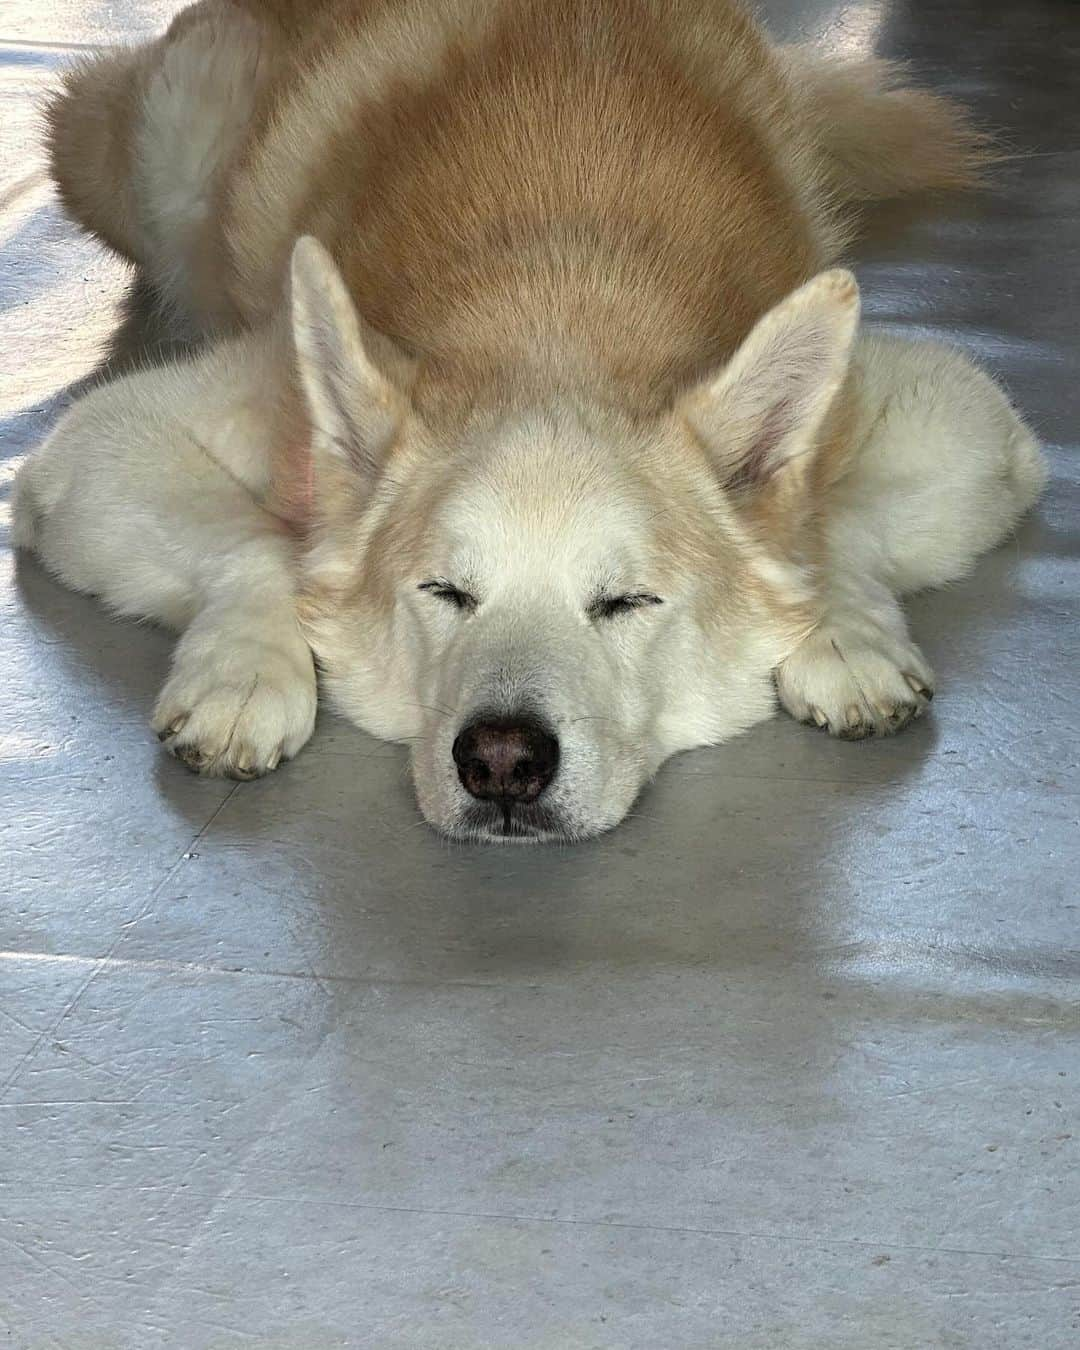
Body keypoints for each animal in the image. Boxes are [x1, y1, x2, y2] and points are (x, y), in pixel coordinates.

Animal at [12, 0, 1047, 837]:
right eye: (443, 592)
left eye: (627, 602)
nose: (501, 760)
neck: (557, 306)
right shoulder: (99, 445)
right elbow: (265, 541)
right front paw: (244, 672)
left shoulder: (968, 417)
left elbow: (831, 523)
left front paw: (844, 637)